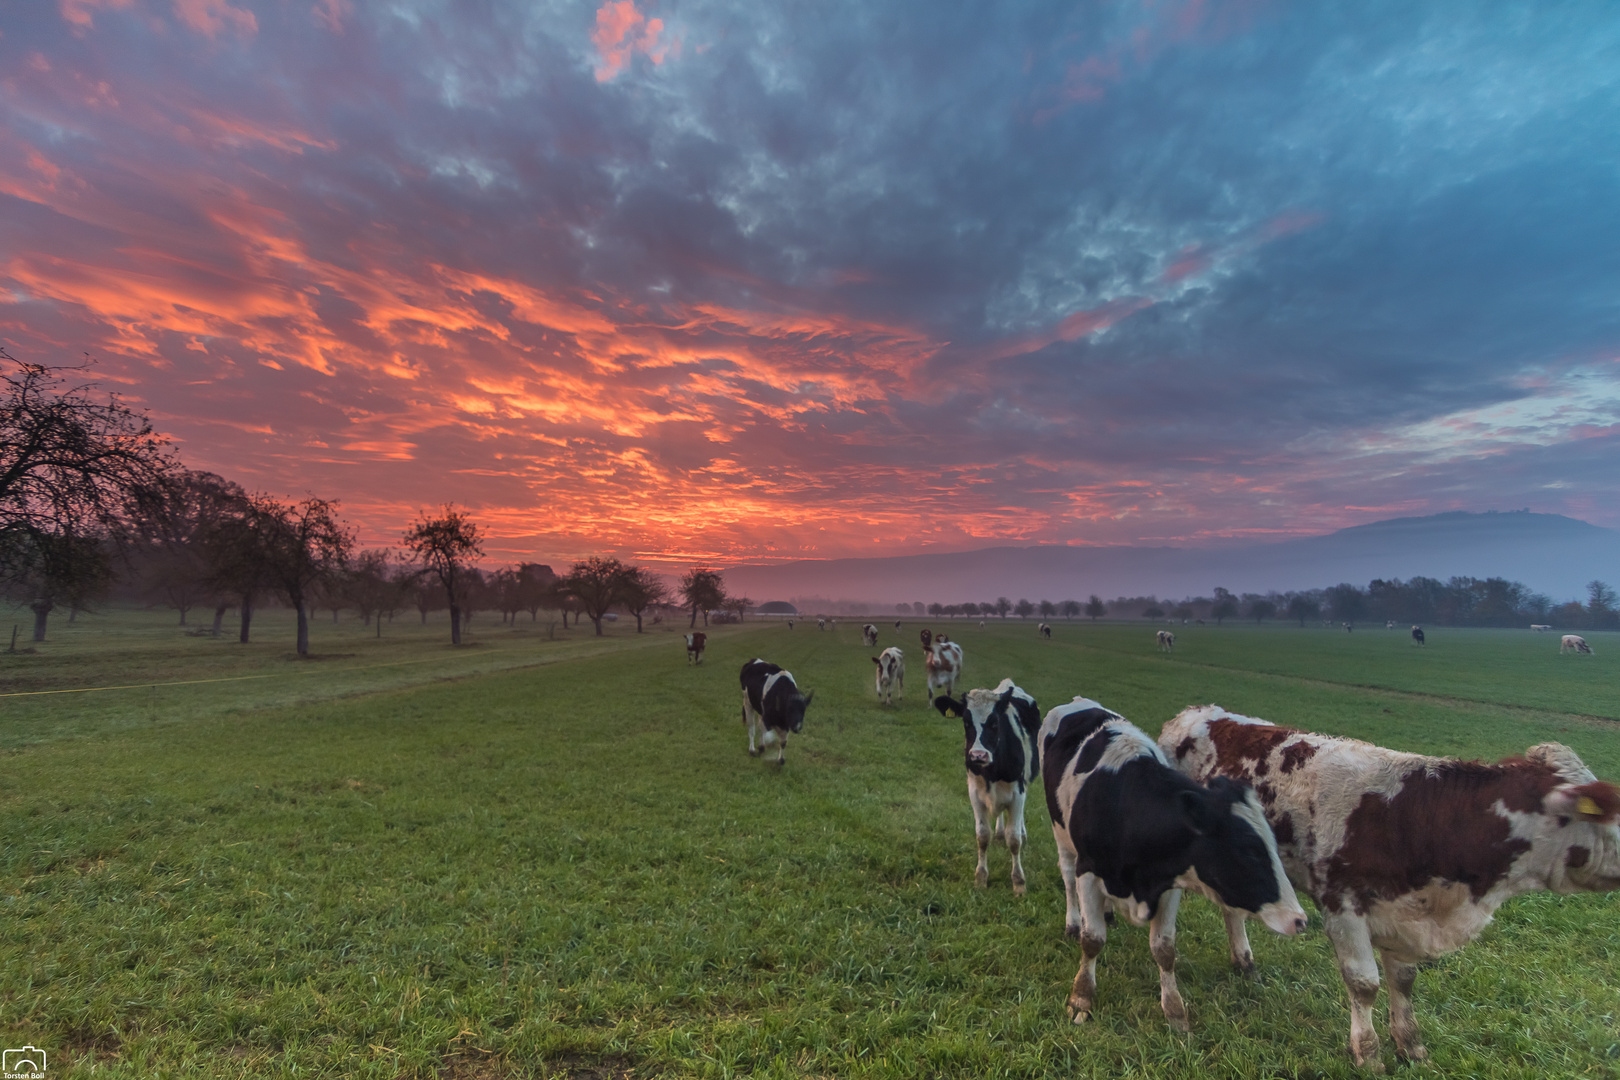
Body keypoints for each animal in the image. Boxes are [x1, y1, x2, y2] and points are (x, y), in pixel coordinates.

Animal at [933, 683, 1043, 893]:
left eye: (994, 722)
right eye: (966, 722)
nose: (978, 755)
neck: (992, 771)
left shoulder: (1018, 793)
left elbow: (1014, 839)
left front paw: (1019, 882)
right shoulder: (975, 793)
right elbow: (982, 836)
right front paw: (981, 878)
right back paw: (999, 833)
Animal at [1043, 696, 1308, 1036]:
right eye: (1248, 850)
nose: (1300, 920)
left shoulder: (1168, 883)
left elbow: (1164, 949)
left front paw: (1175, 1012)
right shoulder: (1088, 871)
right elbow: (1092, 941)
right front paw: (1081, 998)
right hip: (1061, 836)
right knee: (1066, 879)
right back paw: (1074, 923)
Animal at [1159, 705, 1620, 1068]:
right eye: (1603, 816)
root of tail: (1194, 713)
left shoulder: (1405, 914)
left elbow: (1404, 981)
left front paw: (1411, 1046)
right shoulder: (1342, 907)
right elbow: (1365, 984)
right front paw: (1368, 1054)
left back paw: (1244, 962)